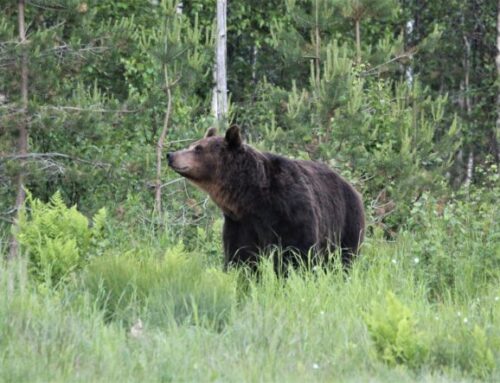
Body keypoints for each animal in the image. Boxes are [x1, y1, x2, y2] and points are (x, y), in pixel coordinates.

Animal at [166, 127, 366, 272]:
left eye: (198, 148)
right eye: (193, 144)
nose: (171, 155)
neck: (252, 197)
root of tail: (353, 188)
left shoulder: (291, 210)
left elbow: (297, 252)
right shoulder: (241, 223)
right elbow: (241, 256)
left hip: (345, 222)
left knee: (345, 257)